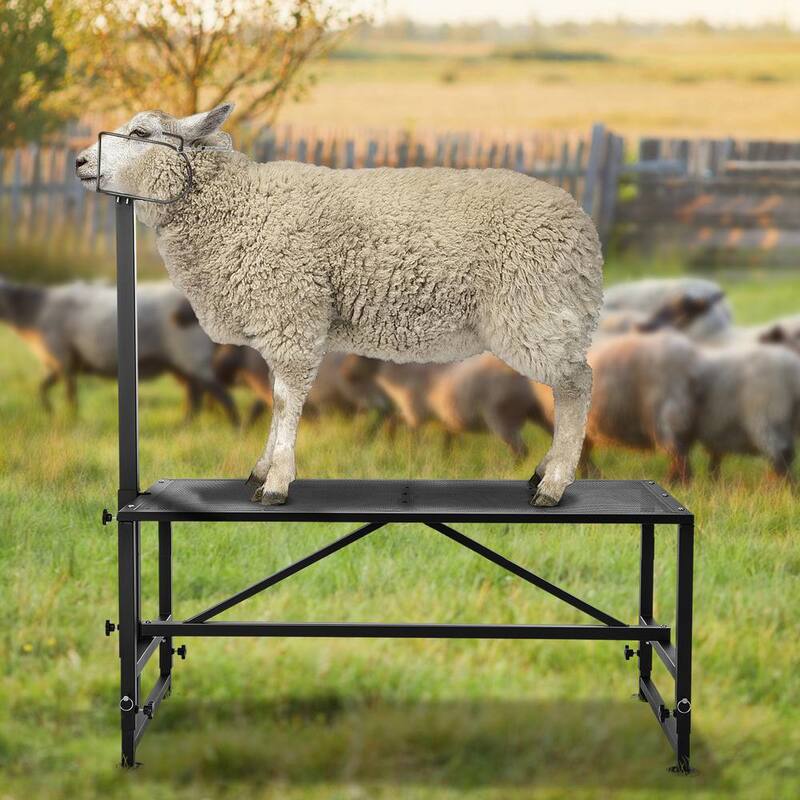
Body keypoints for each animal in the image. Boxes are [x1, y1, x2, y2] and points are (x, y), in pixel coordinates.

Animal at [0, 277, 238, 423]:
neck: (33, 311)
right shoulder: (58, 363)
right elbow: (42, 388)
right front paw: (49, 412)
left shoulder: (63, 358)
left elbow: (69, 394)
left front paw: (71, 418)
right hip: (182, 364)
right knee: (194, 396)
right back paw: (184, 426)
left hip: (192, 357)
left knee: (221, 395)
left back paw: (236, 429)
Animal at [76, 104, 604, 506]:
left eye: (141, 133)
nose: (79, 161)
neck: (238, 207)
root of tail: (583, 229)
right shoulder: (283, 323)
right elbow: (276, 399)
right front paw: (262, 469)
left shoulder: (292, 314)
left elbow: (285, 400)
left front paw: (276, 484)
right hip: (547, 314)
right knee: (568, 388)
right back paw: (543, 471)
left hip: (534, 311)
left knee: (577, 385)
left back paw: (555, 483)